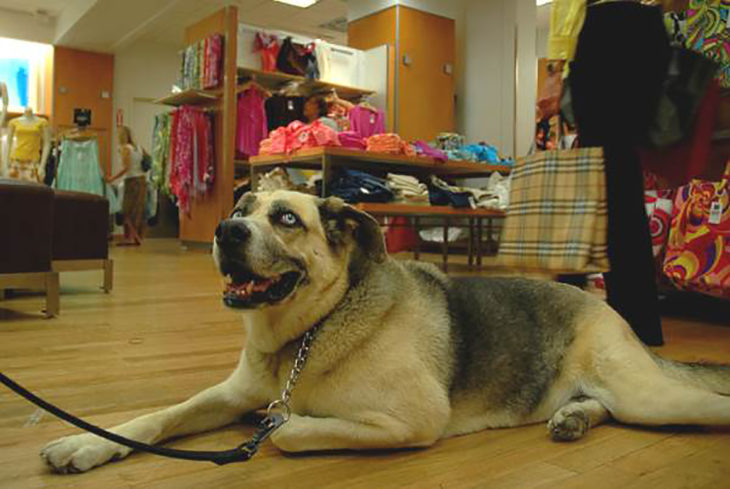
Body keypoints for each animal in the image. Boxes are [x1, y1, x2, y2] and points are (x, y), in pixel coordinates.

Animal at [41, 191, 728, 472]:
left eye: (286, 219)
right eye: (239, 211)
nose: (223, 231)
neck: (308, 333)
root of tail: (597, 300)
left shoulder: (412, 419)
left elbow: (287, 429)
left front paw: (280, 423)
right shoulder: (231, 392)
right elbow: (156, 418)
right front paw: (86, 444)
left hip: (644, 393)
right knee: (598, 406)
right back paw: (574, 418)